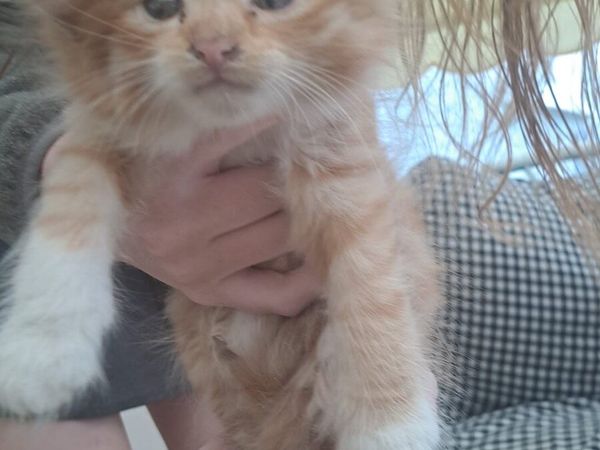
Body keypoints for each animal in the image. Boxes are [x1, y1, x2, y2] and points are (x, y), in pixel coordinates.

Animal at [0, 0, 442, 448]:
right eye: (159, 9)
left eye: (274, 5)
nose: (213, 48)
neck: (232, 133)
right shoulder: (94, 139)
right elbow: (66, 218)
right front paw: (41, 350)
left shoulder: (346, 171)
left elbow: (372, 293)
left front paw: (390, 422)